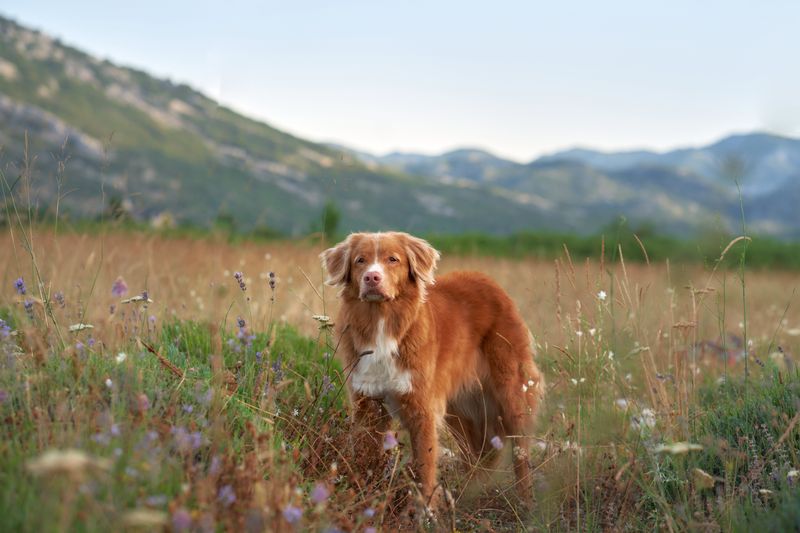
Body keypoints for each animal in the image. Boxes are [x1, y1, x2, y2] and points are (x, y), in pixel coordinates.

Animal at [320, 232, 544, 508]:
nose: (372, 278)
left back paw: (526, 501)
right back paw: (464, 494)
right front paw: (359, 497)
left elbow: (425, 466)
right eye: (360, 260)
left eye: (393, 259)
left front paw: (425, 510)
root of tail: (490, 282)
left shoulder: (422, 408)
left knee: (520, 452)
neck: (383, 321)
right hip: (461, 409)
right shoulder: (368, 404)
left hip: (511, 393)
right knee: (479, 453)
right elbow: (364, 454)